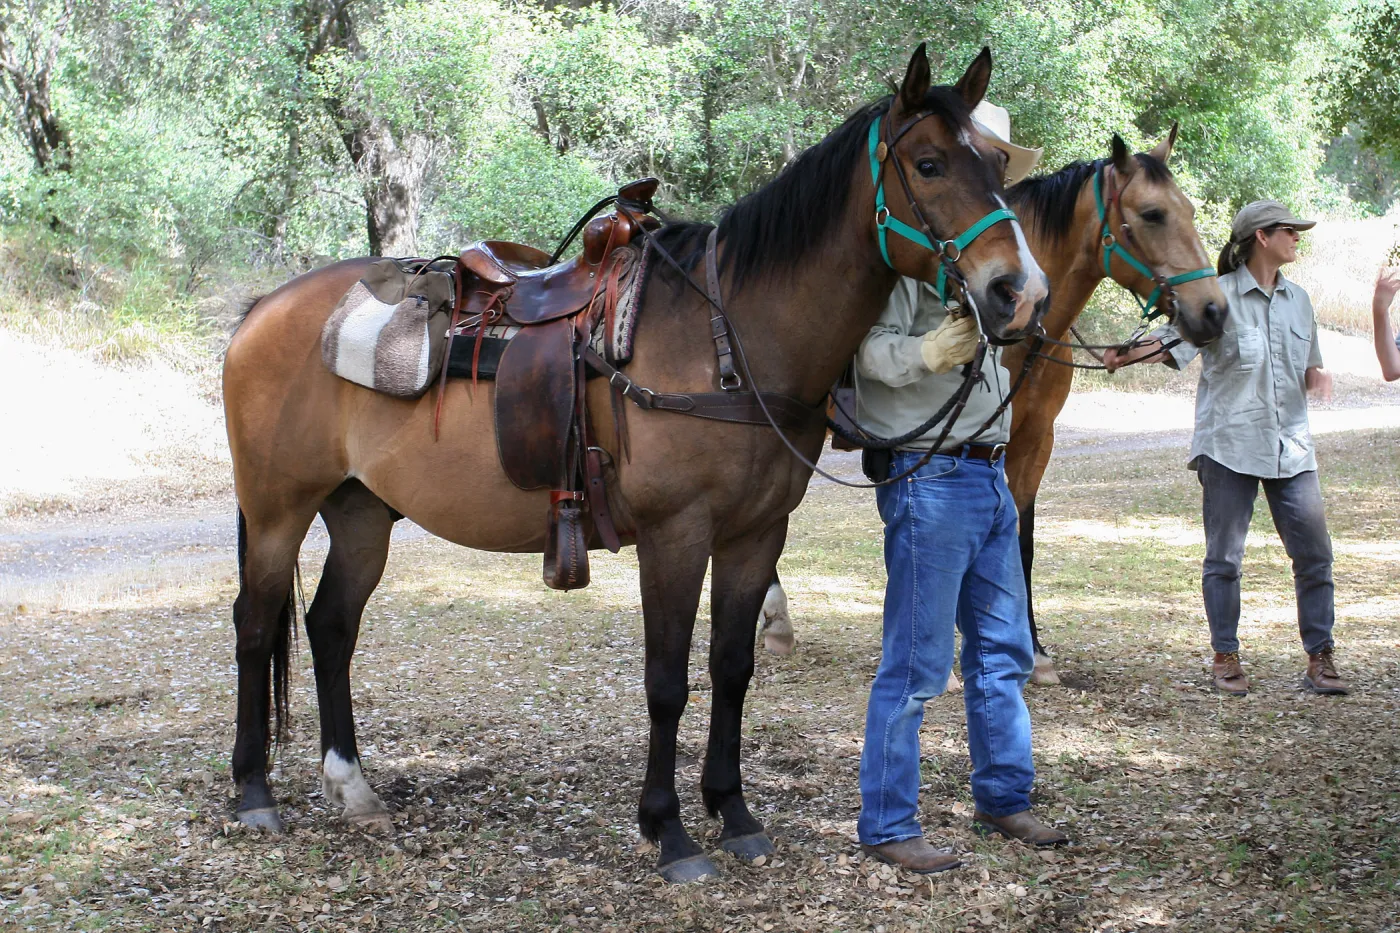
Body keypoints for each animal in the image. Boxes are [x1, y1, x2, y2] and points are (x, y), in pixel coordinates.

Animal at [221, 44, 1049, 883]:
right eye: (930, 163)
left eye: (994, 162)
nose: (1019, 291)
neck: (731, 337)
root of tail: (262, 310)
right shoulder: (675, 533)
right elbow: (666, 681)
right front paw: (670, 830)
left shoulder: (756, 535)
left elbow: (731, 667)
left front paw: (734, 811)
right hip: (278, 510)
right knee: (255, 624)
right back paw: (253, 793)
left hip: (361, 510)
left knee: (330, 626)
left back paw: (351, 785)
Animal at [756, 127, 1228, 673]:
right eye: (1152, 214)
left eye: (1188, 209)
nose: (1213, 311)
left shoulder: (1033, 442)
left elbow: (1020, 539)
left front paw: (1033, 648)